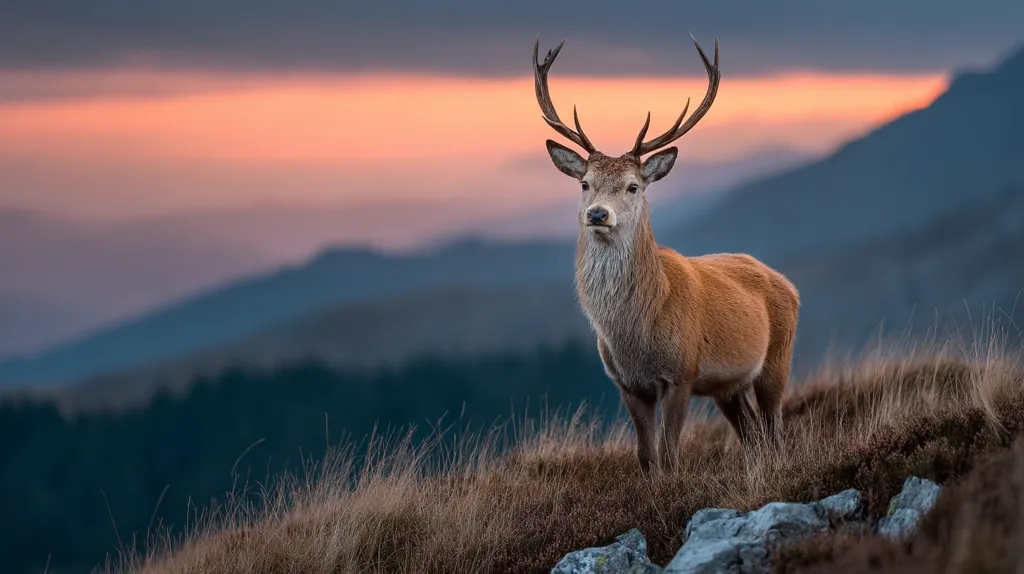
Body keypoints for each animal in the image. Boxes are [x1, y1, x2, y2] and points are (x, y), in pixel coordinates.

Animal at [532, 35, 800, 475]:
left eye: (633, 186)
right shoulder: (627, 383)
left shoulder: (682, 372)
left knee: (775, 428)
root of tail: (789, 286)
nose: (597, 214)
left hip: (778, 358)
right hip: (728, 387)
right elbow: (646, 456)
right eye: (585, 183)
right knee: (752, 434)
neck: (636, 333)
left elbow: (672, 455)